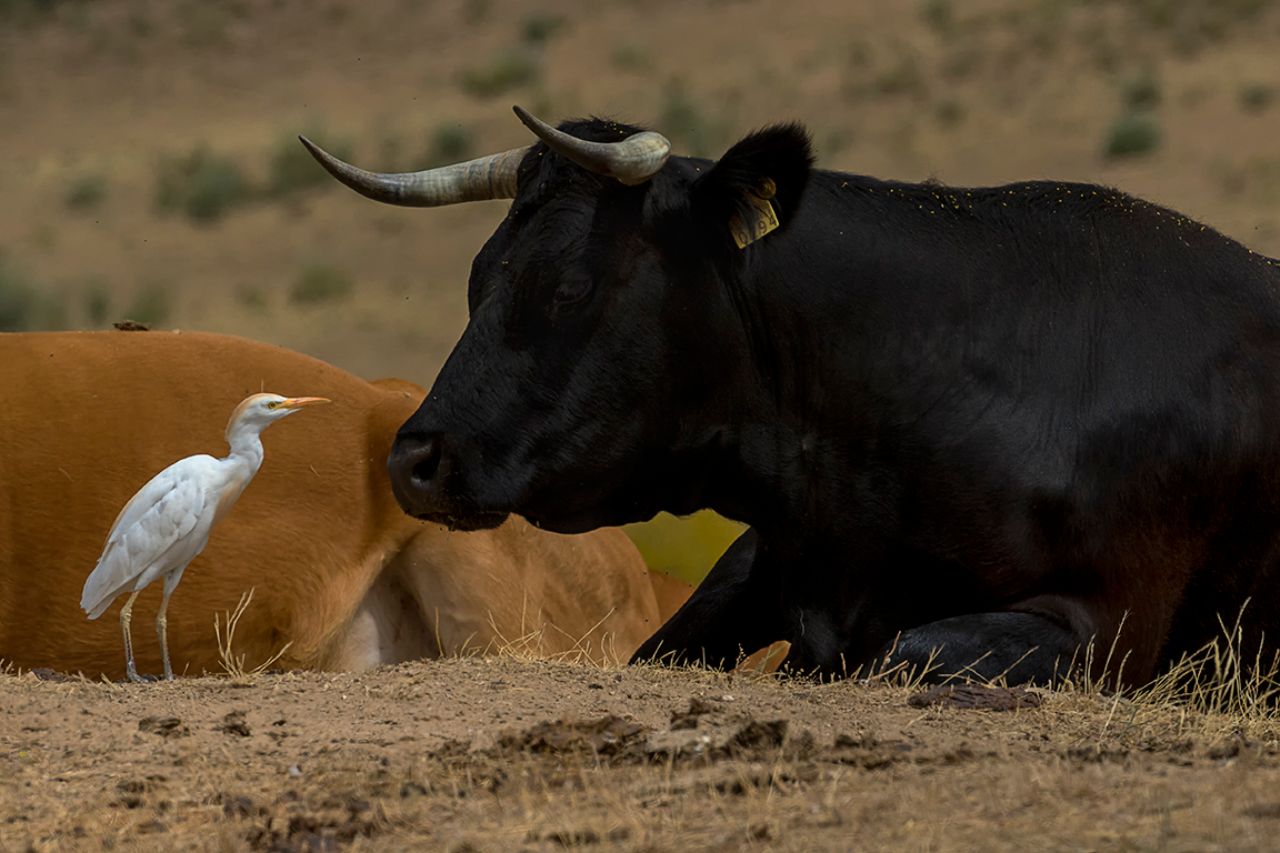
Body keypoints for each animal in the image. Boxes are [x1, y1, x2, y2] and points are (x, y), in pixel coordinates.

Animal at [302, 107, 1280, 687]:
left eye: (570, 284)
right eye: (479, 276)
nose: (414, 457)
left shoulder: (1104, 623)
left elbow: (909, 650)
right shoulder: (762, 569)